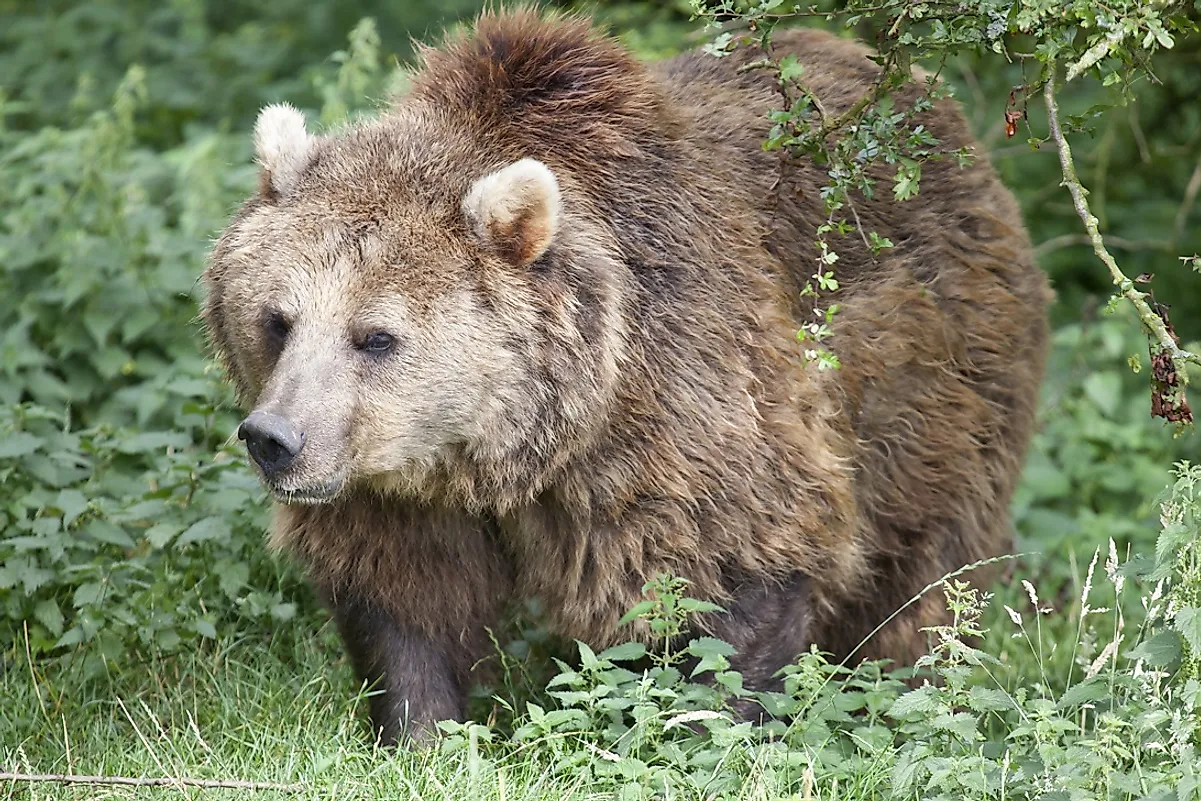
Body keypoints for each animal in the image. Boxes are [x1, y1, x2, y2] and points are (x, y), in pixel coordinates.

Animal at [204, 7, 1052, 744]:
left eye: (375, 336)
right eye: (277, 318)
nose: (273, 437)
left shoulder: (680, 403)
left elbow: (729, 569)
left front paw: (707, 729)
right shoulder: (395, 483)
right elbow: (405, 595)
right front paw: (421, 733)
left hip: (934, 386)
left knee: (925, 567)